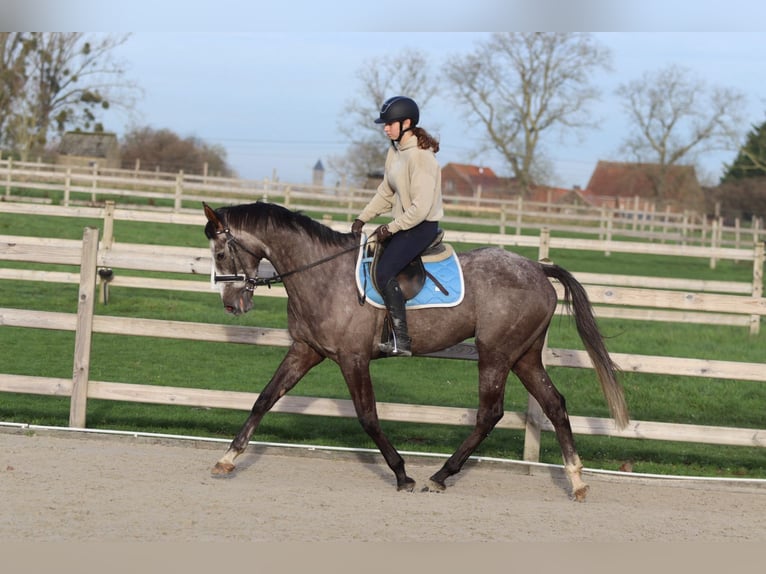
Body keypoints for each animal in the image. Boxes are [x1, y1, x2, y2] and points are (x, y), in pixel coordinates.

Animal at [202, 201, 629, 501]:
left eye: (220, 254)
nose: (231, 304)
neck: (320, 274)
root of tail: (539, 269)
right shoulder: (306, 350)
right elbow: (265, 398)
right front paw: (227, 459)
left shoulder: (353, 358)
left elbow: (368, 417)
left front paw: (401, 474)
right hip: (523, 356)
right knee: (554, 404)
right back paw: (576, 481)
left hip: (496, 354)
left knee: (490, 413)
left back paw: (440, 476)